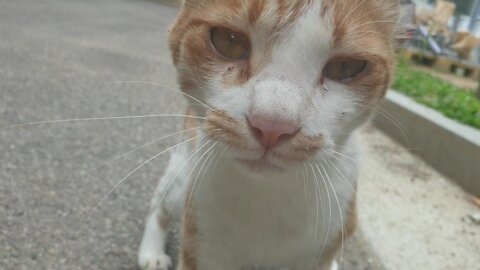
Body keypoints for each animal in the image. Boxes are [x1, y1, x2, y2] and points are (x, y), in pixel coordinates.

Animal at [139, 0, 402, 270]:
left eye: (346, 67)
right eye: (229, 41)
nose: (272, 126)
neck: (269, 195)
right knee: (160, 203)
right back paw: (151, 252)